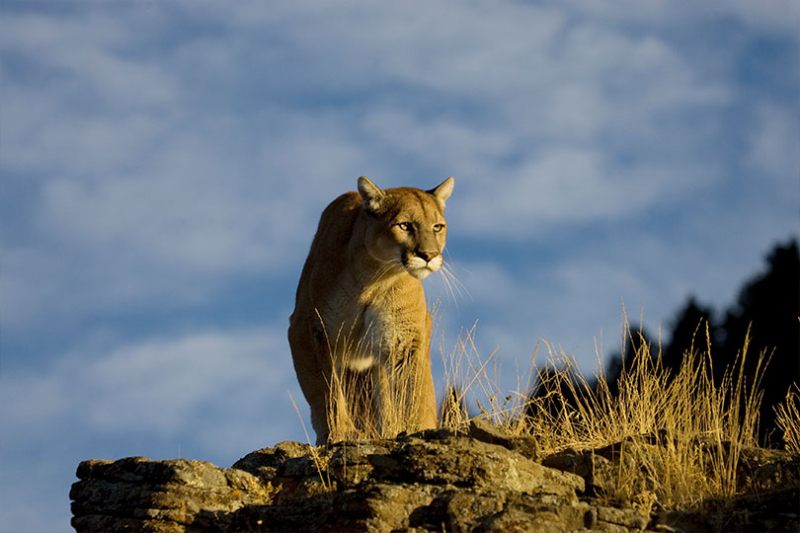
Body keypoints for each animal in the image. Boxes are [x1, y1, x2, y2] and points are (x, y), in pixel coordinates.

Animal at [288, 176, 454, 445]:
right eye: (405, 225)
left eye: (437, 227)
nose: (429, 255)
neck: (374, 277)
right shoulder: (308, 328)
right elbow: (325, 387)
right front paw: (340, 432)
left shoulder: (405, 339)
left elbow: (415, 390)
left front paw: (420, 429)